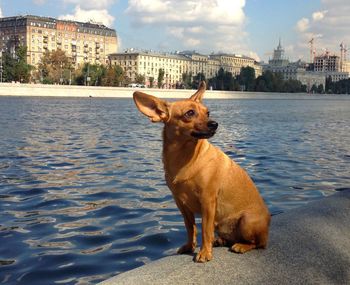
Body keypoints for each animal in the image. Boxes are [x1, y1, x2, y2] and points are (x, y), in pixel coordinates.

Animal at [133, 81, 270, 262]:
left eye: (208, 113)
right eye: (190, 113)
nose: (214, 123)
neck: (185, 157)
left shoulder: (207, 201)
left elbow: (205, 229)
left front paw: (204, 252)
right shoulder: (181, 204)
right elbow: (191, 228)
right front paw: (189, 246)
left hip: (246, 221)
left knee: (259, 243)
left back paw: (241, 245)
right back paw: (220, 240)